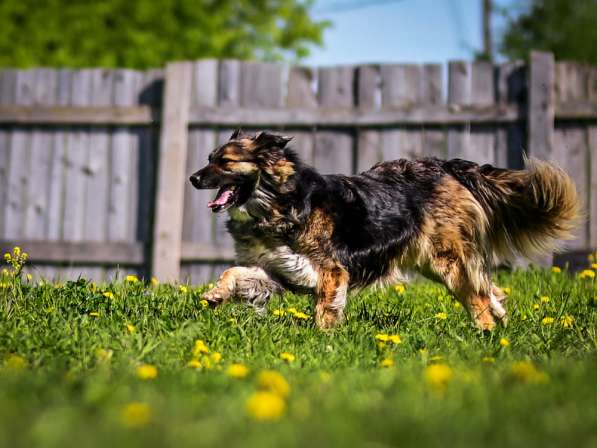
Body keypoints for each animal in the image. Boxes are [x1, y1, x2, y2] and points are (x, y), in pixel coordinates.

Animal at [189, 129, 580, 328]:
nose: (192, 178)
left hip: (448, 261)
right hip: (436, 263)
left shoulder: (331, 271)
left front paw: (324, 341)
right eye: (208, 159)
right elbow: (234, 272)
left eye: (225, 162)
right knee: (489, 290)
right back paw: (502, 329)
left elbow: (324, 310)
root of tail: (446, 165)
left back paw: (485, 337)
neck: (277, 204)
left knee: (479, 300)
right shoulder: (278, 269)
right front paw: (215, 295)